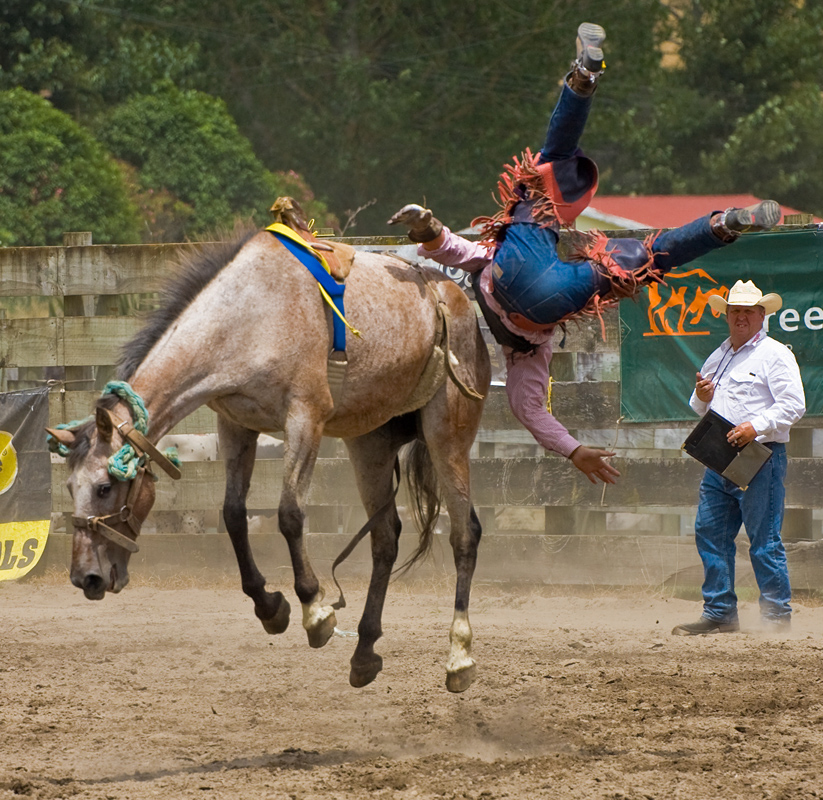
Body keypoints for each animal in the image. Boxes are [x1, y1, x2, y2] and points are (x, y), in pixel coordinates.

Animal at [46, 202, 490, 692]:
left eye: (105, 487)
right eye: (69, 488)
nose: (85, 577)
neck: (250, 316)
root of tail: (455, 298)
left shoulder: (305, 419)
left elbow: (290, 514)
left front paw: (315, 611)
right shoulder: (236, 425)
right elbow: (233, 515)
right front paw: (270, 607)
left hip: (448, 432)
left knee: (464, 533)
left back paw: (460, 656)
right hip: (368, 442)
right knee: (385, 537)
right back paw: (365, 651)